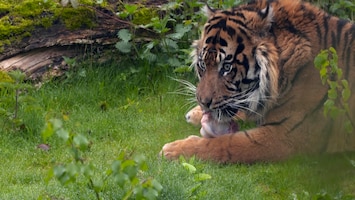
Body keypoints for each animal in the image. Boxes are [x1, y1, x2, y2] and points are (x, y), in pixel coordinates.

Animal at [161, 0, 355, 164]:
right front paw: (195, 113)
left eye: (226, 67)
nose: (203, 103)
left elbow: (225, 144)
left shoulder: (283, 136)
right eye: (202, 64)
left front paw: (174, 149)